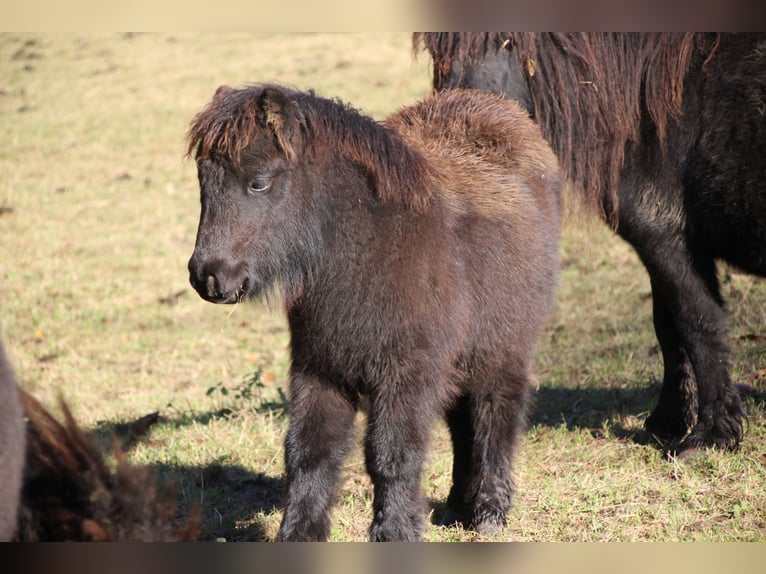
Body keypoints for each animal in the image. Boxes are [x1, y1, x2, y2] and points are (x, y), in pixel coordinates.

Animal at [414, 32, 766, 454]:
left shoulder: (666, 238)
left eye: (509, 42)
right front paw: (668, 421)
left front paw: (711, 436)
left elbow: (699, 326)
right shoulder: (662, 243)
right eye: (437, 54)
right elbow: (669, 329)